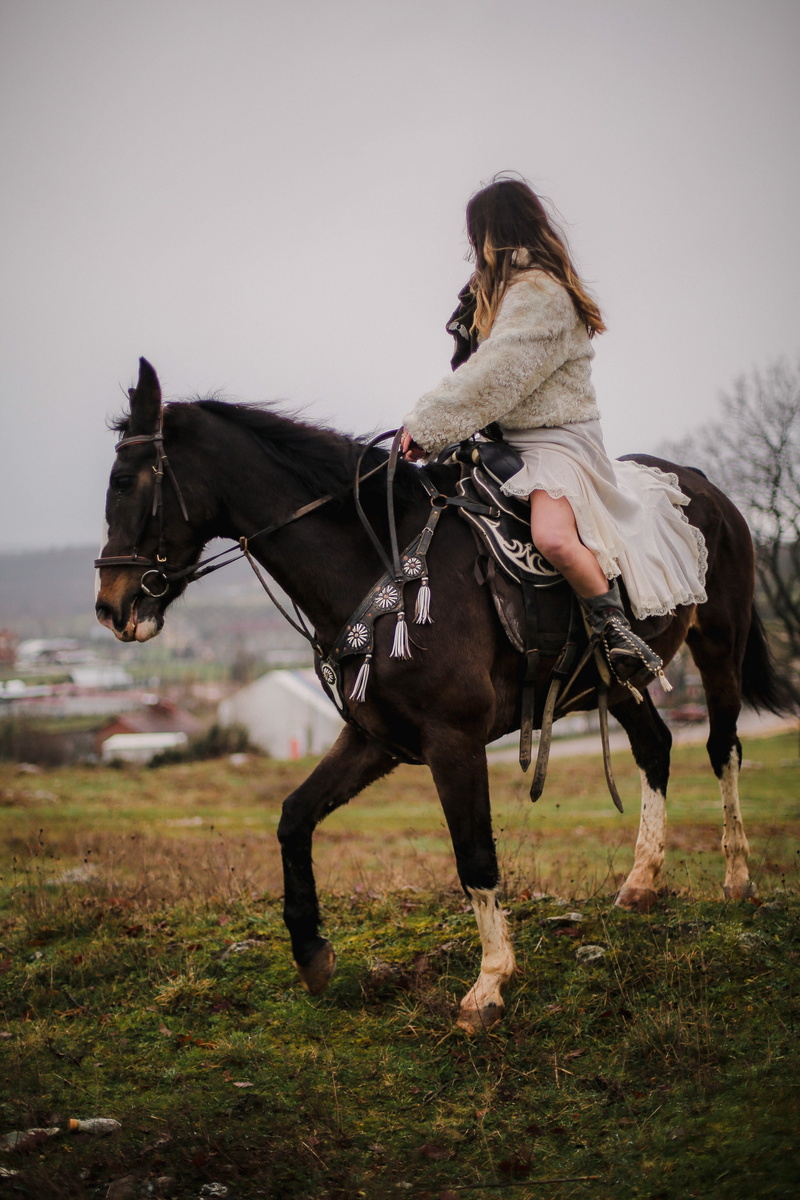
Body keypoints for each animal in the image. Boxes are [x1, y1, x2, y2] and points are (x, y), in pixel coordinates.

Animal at [95, 358, 791, 1032]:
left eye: (126, 482)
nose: (110, 607)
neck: (380, 563)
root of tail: (701, 483)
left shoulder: (453, 741)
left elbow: (475, 857)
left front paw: (489, 984)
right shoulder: (374, 738)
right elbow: (294, 816)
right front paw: (311, 951)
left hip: (719, 648)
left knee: (722, 747)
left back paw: (737, 878)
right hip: (614, 682)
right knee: (655, 748)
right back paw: (641, 884)